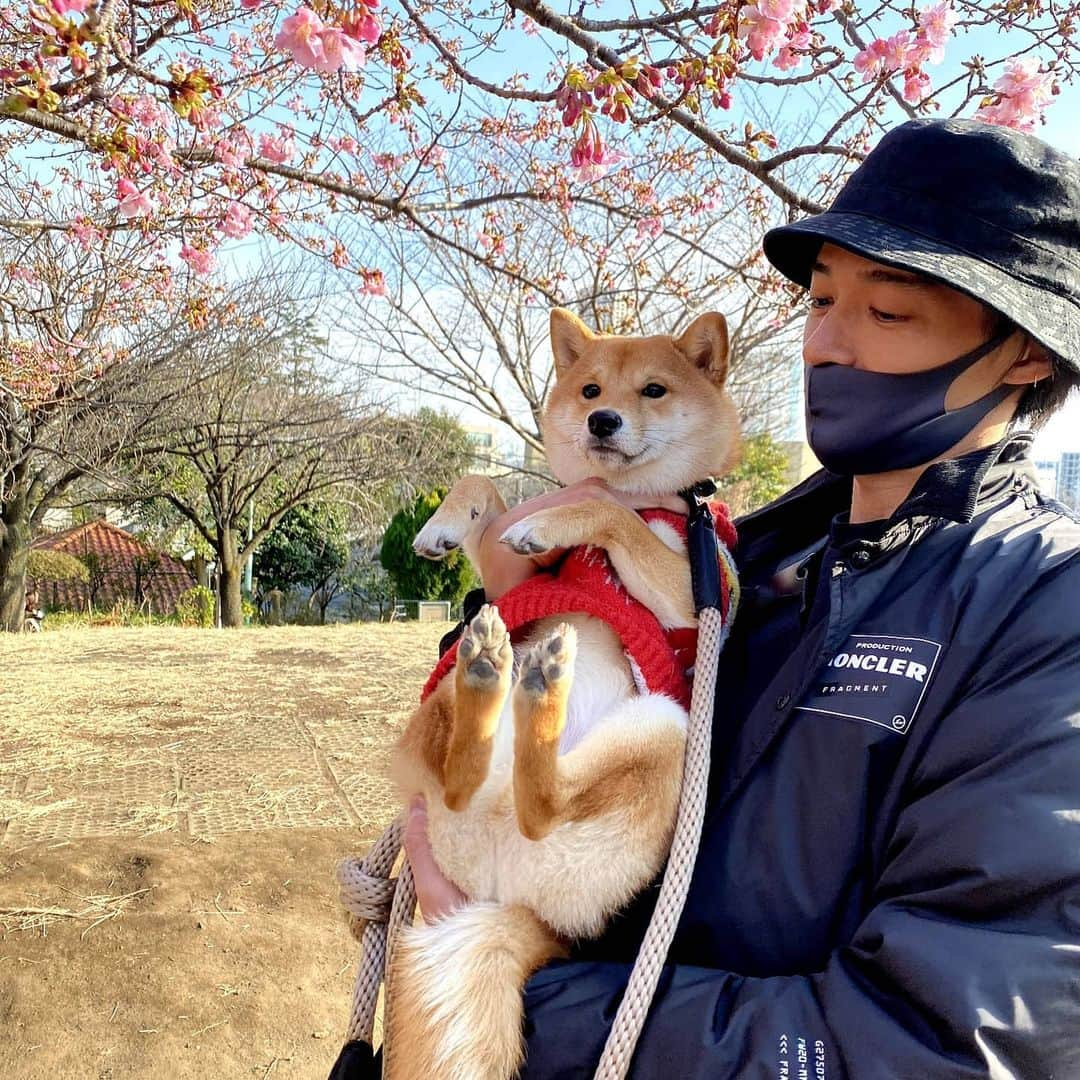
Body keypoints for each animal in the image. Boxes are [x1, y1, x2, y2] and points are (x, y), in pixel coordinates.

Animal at [386, 306, 743, 1080]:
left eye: (654, 390)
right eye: (588, 391)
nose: (603, 420)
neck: (650, 496)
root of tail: (508, 896)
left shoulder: (698, 594)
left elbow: (606, 515)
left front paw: (550, 519)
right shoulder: (526, 572)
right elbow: (486, 484)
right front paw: (444, 523)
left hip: (665, 727)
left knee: (543, 798)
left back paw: (533, 689)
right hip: (444, 707)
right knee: (464, 773)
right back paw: (496, 674)